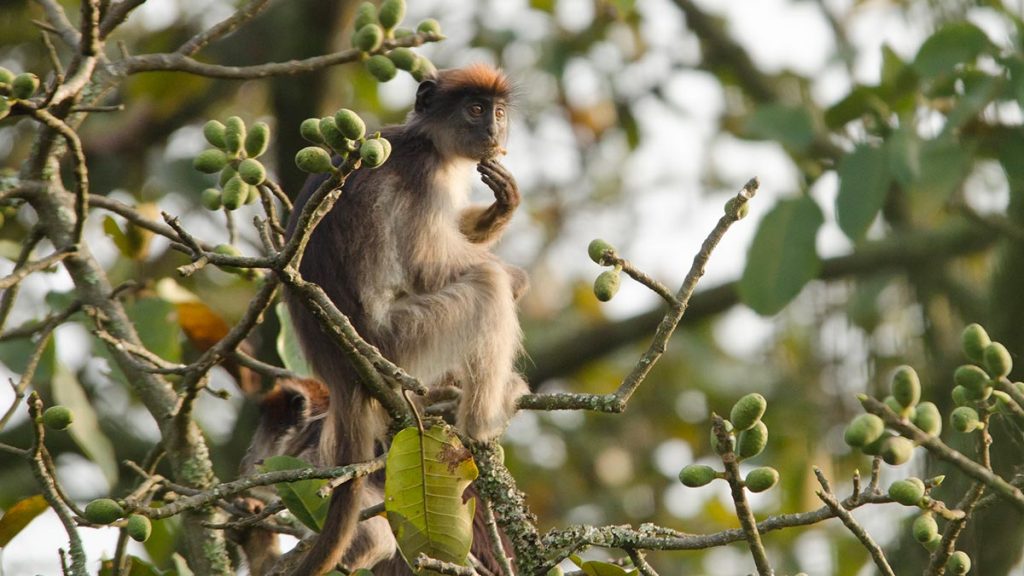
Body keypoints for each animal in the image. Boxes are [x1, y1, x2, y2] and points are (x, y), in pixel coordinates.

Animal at [282, 64, 528, 575]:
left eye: (496, 112)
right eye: (475, 109)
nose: (492, 131)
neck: (427, 140)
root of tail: (342, 375)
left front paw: (500, 210)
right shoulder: (424, 174)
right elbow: (426, 266)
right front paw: (517, 275)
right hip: (400, 340)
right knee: (486, 288)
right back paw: (483, 421)